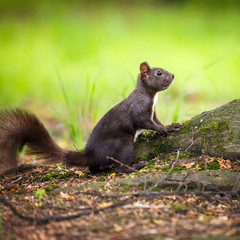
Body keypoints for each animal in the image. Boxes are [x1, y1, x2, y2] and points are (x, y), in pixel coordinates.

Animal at [0, 62, 180, 173]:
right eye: (159, 73)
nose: (173, 75)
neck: (150, 95)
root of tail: (91, 155)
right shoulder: (139, 109)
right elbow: (146, 122)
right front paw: (163, 129)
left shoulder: (153, 112)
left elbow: (156, 121)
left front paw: (170, 126)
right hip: (123, 143)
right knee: (119, 167)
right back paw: (136, 167)